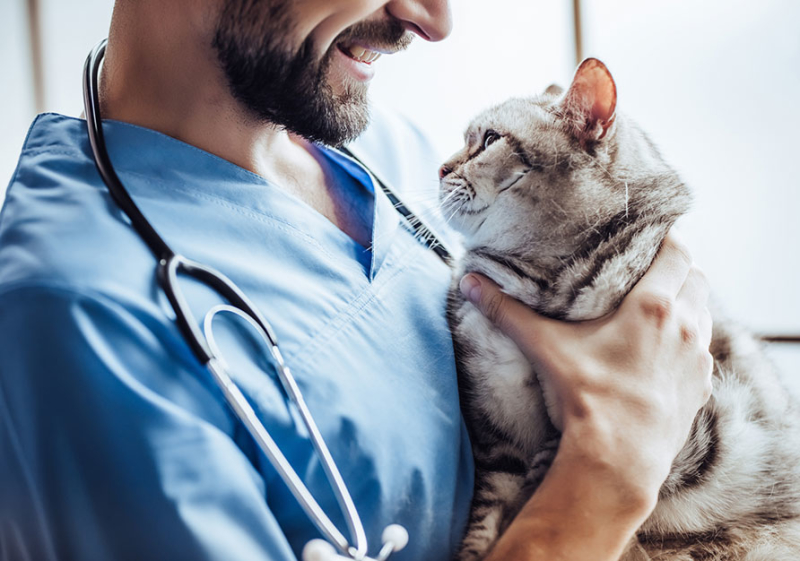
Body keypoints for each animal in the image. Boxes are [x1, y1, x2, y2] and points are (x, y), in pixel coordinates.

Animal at [440, 58, 800, 560]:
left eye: (489, 139)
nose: (440, 168)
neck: (531, 283)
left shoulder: (696, 425)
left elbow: (545, 477)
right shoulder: (495, 434)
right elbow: (487, 518)